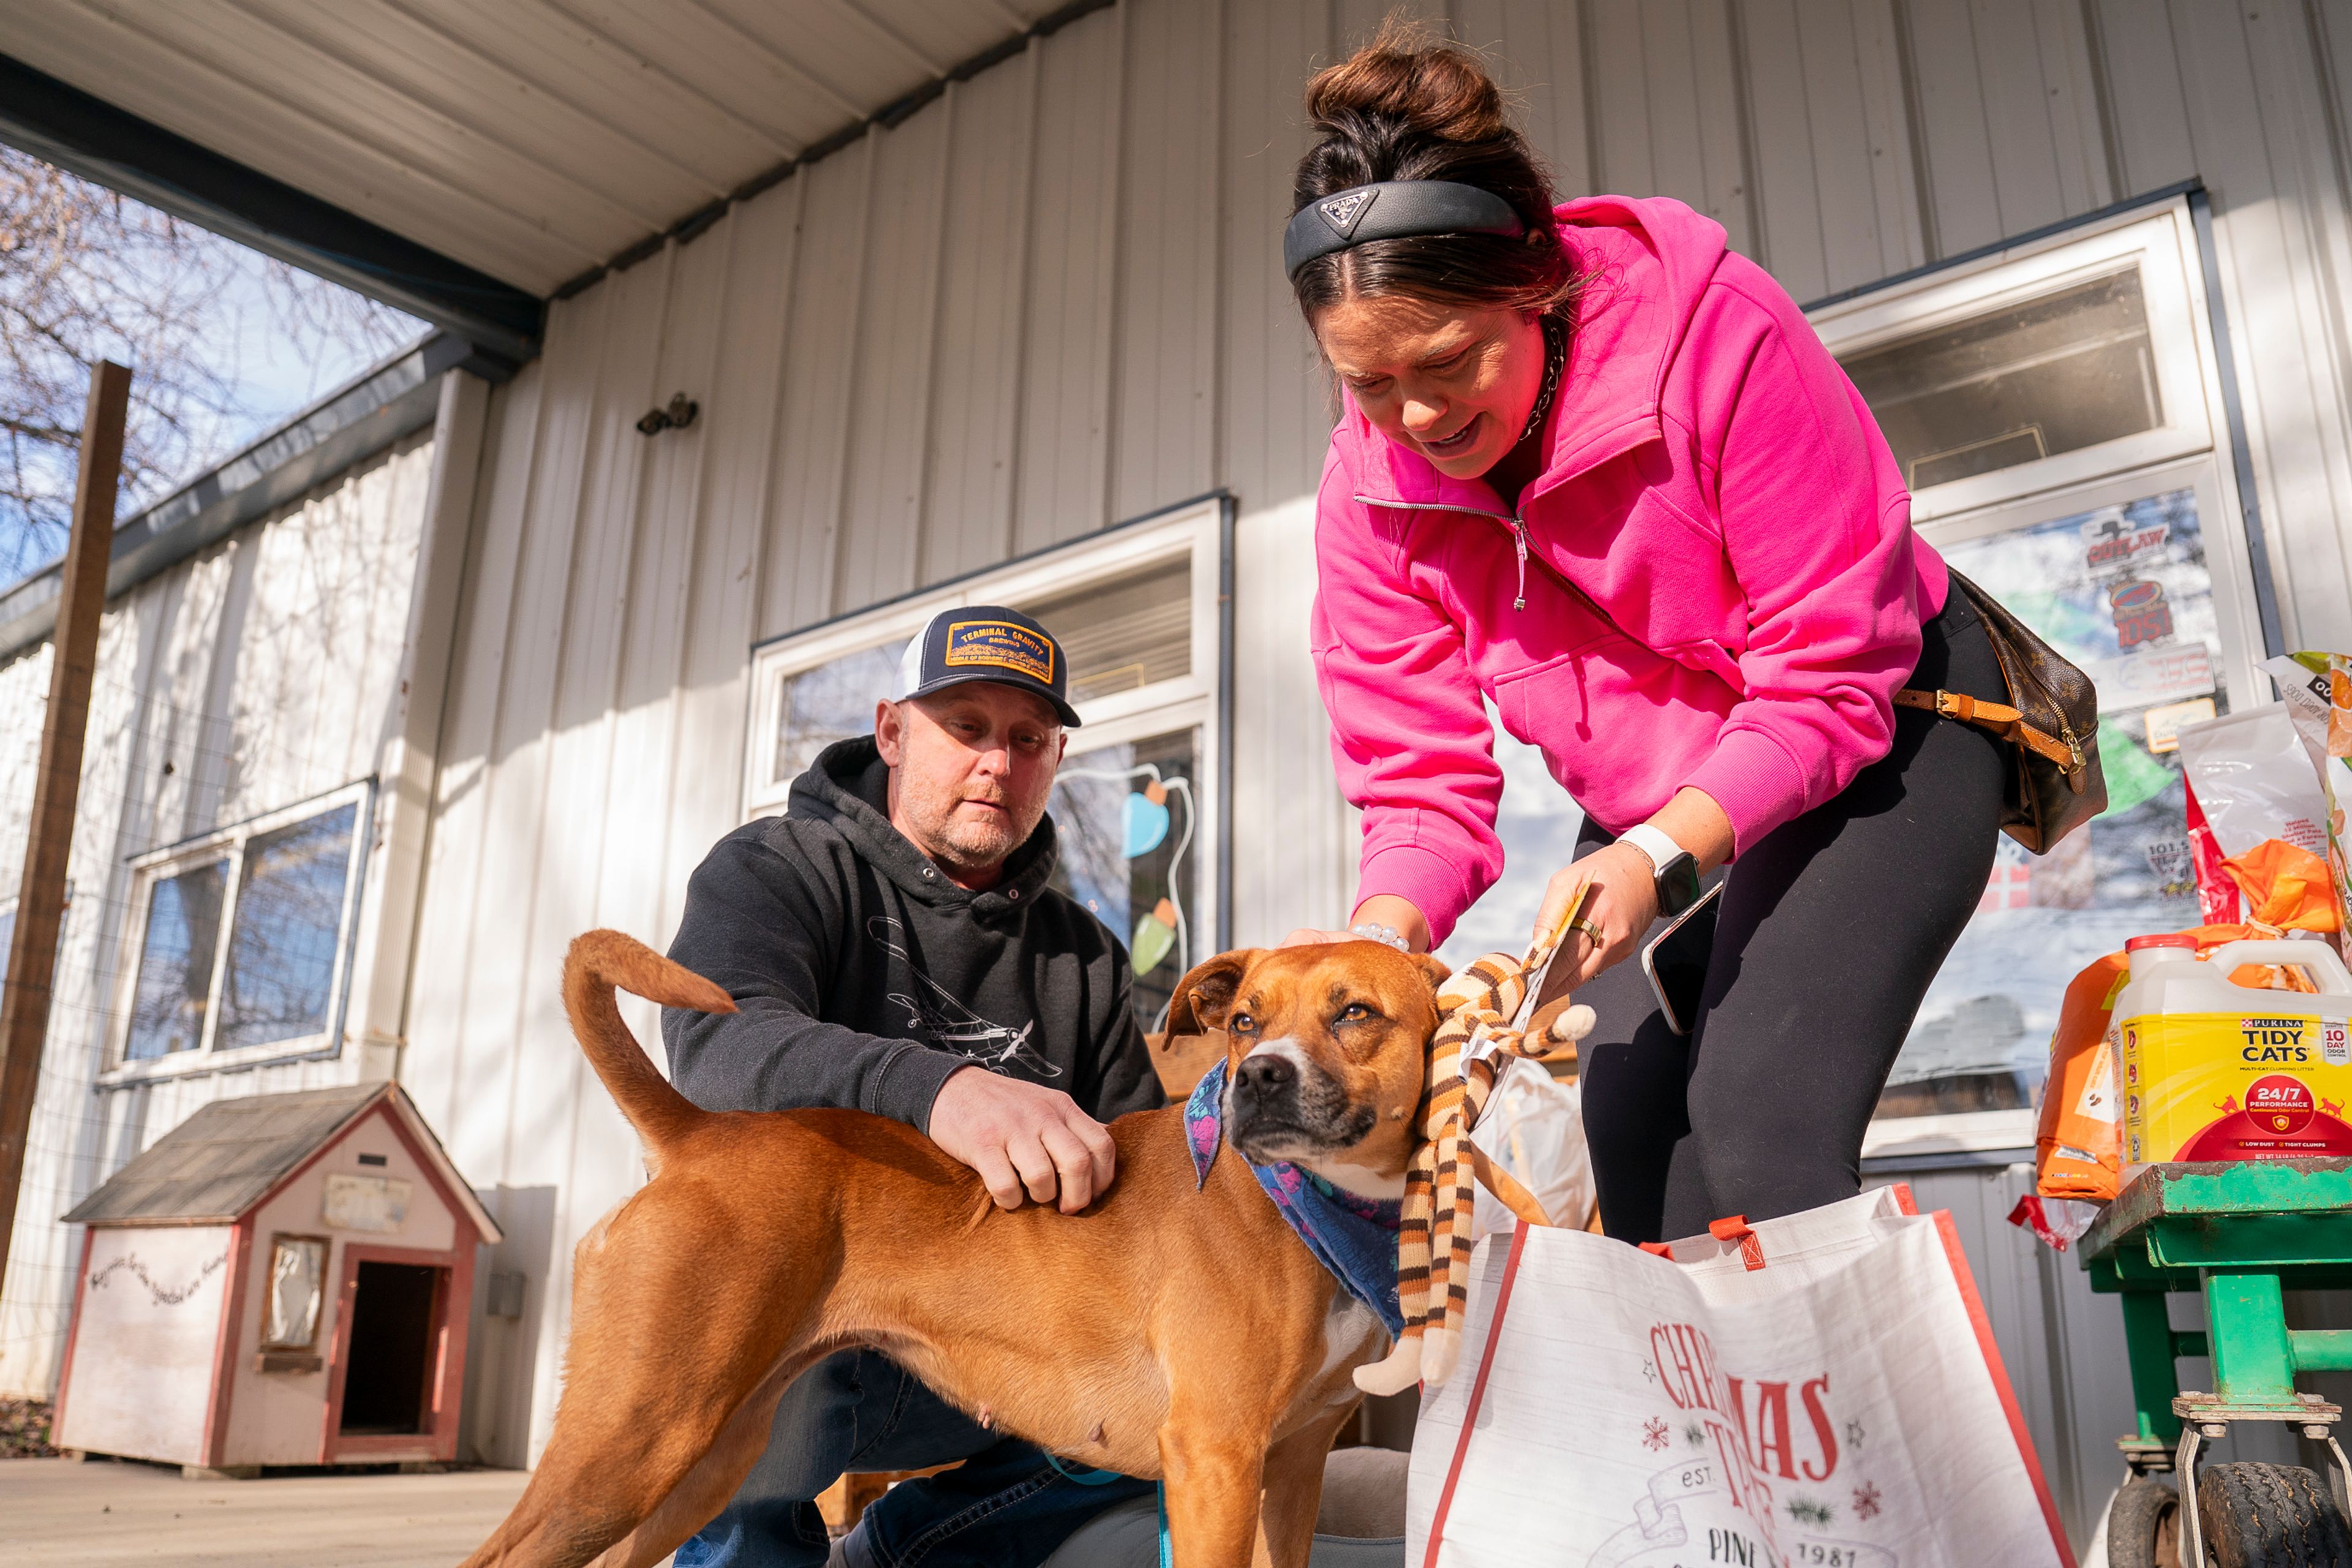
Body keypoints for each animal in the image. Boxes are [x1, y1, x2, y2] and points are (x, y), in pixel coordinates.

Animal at [461, 930, 1449, 1568]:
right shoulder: (1217, 1460)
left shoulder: (1293, 1467)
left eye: (1355, 1013)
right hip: (632, 1440)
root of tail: (702, 1134)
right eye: (1244, 1021)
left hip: (699, 1463)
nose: (1258, 1078)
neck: (1315, 1205)